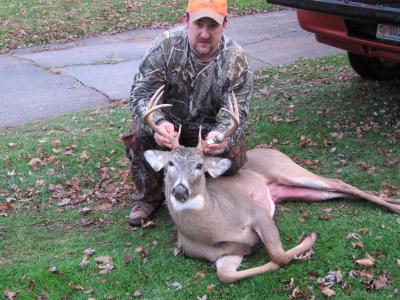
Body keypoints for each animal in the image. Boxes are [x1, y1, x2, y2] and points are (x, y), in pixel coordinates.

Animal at [139, 85, 398, 282]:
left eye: (200, 166)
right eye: (170, 164)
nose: (180, 190)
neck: (215, 224)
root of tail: (272, 150)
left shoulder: (257, 213)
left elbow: (278, 254)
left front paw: (307, 242)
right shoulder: (224, 255)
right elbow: (226, 275)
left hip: (287, 169)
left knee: (339, 182)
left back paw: (394, 206)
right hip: (294, 190)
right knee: (336, 191)